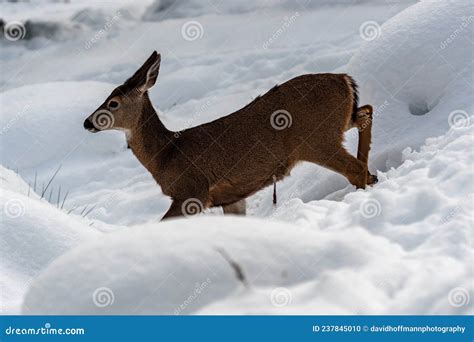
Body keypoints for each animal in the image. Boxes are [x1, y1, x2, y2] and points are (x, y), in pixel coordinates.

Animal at [83, 52, 376, 220]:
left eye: (113, 103)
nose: (87, 122)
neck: (165, 155)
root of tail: (345, 79)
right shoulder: (232, 198)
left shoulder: (192, 191)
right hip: (335, 126)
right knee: (366, 112)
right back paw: (373, 176)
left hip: (316, 139)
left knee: (353, 166)